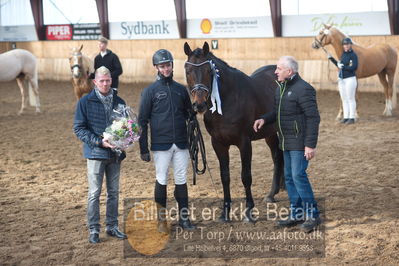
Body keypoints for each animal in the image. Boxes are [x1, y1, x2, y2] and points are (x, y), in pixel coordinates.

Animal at [184, 42, 284, 222]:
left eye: (209, 71)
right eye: (188, 71)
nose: (199, 105)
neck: (228, 99)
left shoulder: (244, 143)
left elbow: (246, 176)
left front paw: (249, 211)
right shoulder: (218, 144)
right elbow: (225, 177)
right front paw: (225, 212)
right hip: (270, 133)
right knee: (277, 156)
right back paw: (272, 194)